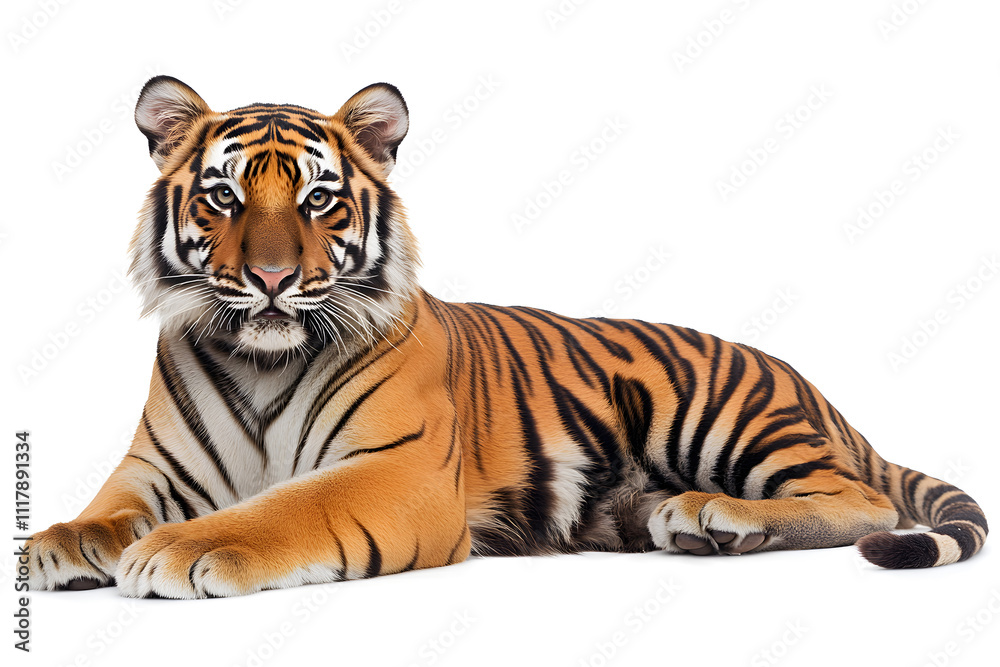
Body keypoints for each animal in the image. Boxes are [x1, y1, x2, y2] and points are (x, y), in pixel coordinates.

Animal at [28, 76, 988, 599]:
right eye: (223, 197)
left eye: (318, 199)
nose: (269, 278)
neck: (263, 360)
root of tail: (819, 391)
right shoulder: (153, 467)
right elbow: (106, 507)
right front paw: (56, 544)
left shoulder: (400, 471)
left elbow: (285, 506)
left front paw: (180, 549)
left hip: (715, 413)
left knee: (864, 501)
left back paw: (709, 514)